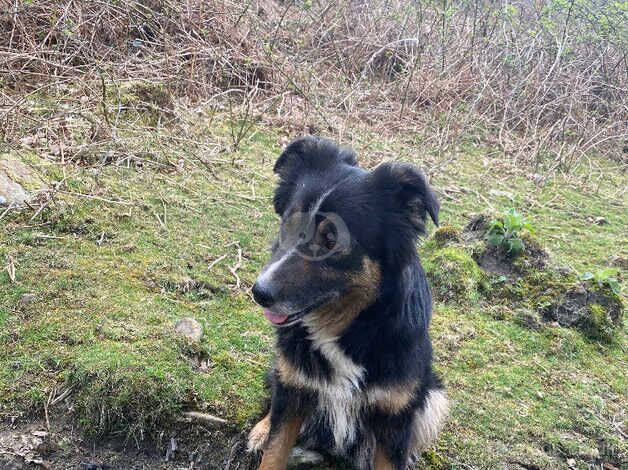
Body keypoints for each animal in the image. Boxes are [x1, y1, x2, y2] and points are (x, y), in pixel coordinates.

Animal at [248, 137, 448, 470]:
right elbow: (275, 449)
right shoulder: (295, 386)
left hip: (434, 397)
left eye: (332, 240)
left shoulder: (393, 418)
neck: (347, 327)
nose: (259, 292)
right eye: (287, 223)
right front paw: (267, 435)